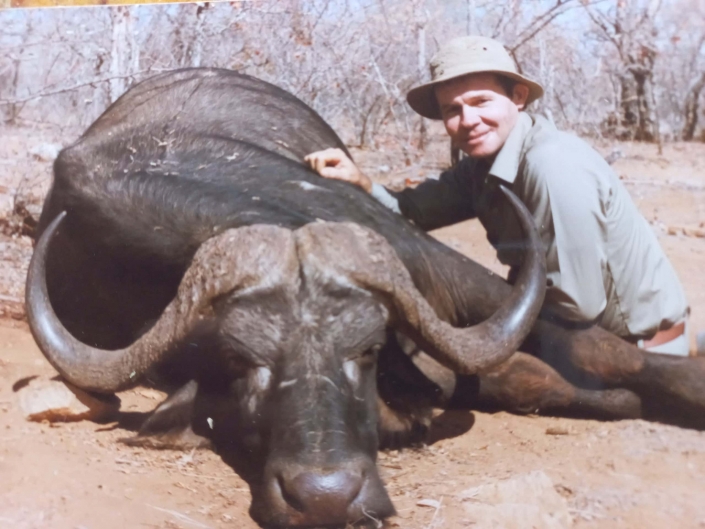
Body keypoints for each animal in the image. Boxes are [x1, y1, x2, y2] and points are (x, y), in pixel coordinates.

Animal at [26, 68, 705, 528]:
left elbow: (593, 351)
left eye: (368, 351)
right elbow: (519, 377)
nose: (326, 497)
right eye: (243, 364)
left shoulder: (436, 269)